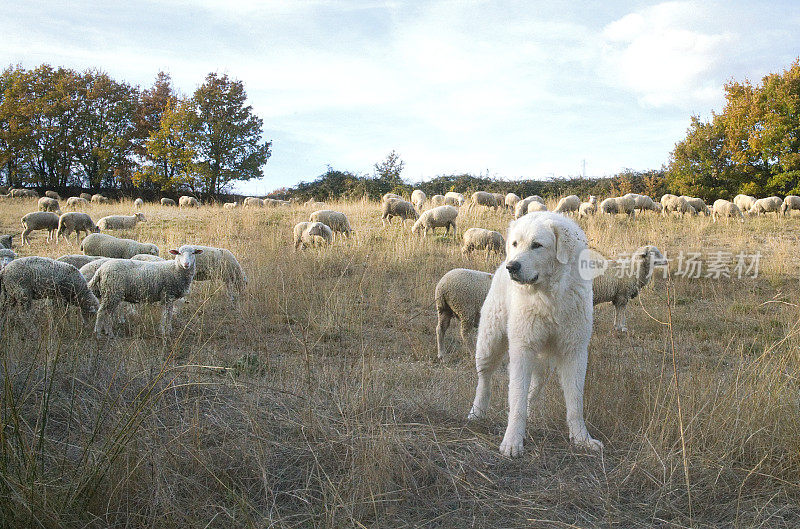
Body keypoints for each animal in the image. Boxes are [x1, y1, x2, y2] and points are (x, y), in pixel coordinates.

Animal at [468, 212, 600, 456]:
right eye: (515, 244)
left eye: (537, 245)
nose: (512, 266)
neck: (549, 297)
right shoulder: (522, 349)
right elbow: (516, 400)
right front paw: (512, 442)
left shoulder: (574, 351)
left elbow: (575, 403)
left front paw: (582, 439)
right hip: (490, 343)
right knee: (484, 379)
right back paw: (477, 412)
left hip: (543, 360)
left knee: (534, 387)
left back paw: (533, 414)